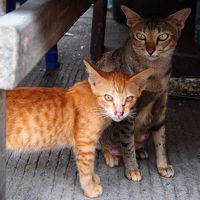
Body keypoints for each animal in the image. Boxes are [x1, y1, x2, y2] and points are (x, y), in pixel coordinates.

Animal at [5, 59, 154, 197]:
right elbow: (86, 169)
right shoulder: (84, 143)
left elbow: (90, 166)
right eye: (108, 97)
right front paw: (90, 189)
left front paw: (94, 179)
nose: (119, 113)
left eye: (129, 98)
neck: (95, 102)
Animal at [97, 5, 191, 181]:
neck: (153, 75)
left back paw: (140, 151)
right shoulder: (126, 115)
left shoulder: (160, 109)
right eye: (141, 36)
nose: (150, 50)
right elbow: (127, 144)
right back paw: (111, 156)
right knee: (103, 144)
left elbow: (160, 140)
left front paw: (163, 165)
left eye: (163, 36)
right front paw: (132, 169)